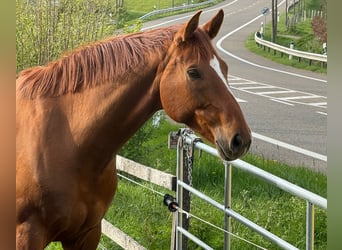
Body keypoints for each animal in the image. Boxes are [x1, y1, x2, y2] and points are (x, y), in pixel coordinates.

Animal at [16, 10, 251, 249]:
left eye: (224, 67)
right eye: (193, 72)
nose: (240, 139)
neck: (66, 141)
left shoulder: (87, 235)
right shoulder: (26, 235)